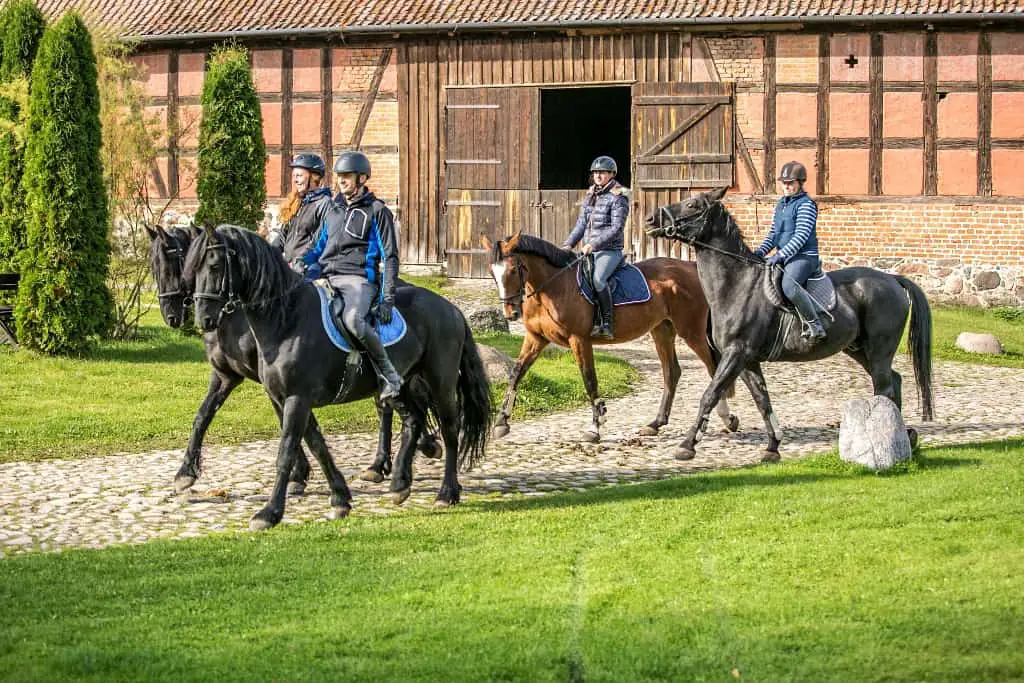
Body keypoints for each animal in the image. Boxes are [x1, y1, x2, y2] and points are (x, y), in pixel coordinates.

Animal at [147, 225, 440, 497]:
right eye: (154, 267)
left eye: (176, 262)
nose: (172, 316)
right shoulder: (225, 376)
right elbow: (202, 416)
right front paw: (185, 474)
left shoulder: (276, 383)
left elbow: (286, 422)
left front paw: (298, 474)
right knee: (391, 404)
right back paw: (393, 461)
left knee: (389, 406)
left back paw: (401, 456)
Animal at [184, 224, 491, 528]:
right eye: (192, 269)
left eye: (213, 265)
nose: (203, 320)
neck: (287, 320)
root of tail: (451, 308)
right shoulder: (286, 397)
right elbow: (317, 445)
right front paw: (340, 499)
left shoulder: (297, 398)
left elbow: (286, 451)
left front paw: (269, 513)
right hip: (400, 383)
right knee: (413, 420)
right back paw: (400, 484)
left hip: (441, 381)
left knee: (450, 430)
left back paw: (446, 492)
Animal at [481, 231, 737, 444]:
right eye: (492, 272)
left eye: (513, 270)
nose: (511, 313)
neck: (552, 287)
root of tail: (691, 267)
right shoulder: (536, 338)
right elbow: (516, 374)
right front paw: (502, 422)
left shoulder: (579, 340)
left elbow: (589, 379)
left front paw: (596, 426)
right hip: (662, 330)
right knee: (671, 372)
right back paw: (655, 424)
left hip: (690, 331)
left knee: (713, 368)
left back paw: (727, 418)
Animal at [651, 187, 933, 462]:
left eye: (692, 204)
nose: (651, 219)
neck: (738, 285)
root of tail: (892, 279)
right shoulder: (748, 360)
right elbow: (762, 400)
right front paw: (772, 447)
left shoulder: (736, 354)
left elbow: (710, 395)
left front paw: (687, 445)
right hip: (858, 350)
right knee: (893, 381)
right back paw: (905, 436)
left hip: (878, 350)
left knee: (885, 386)